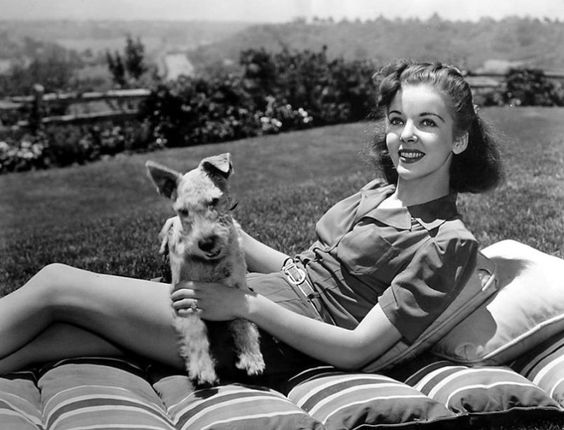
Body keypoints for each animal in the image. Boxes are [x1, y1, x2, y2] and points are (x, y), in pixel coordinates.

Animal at [148, 153, 266, 384]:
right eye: (183, 211)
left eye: (214, 201)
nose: (206, 243)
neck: (210, 264)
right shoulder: (184, 295)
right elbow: (195, 333)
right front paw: (202, 369)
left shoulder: (238, 289)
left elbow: (244, 323)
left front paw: (252, 358)